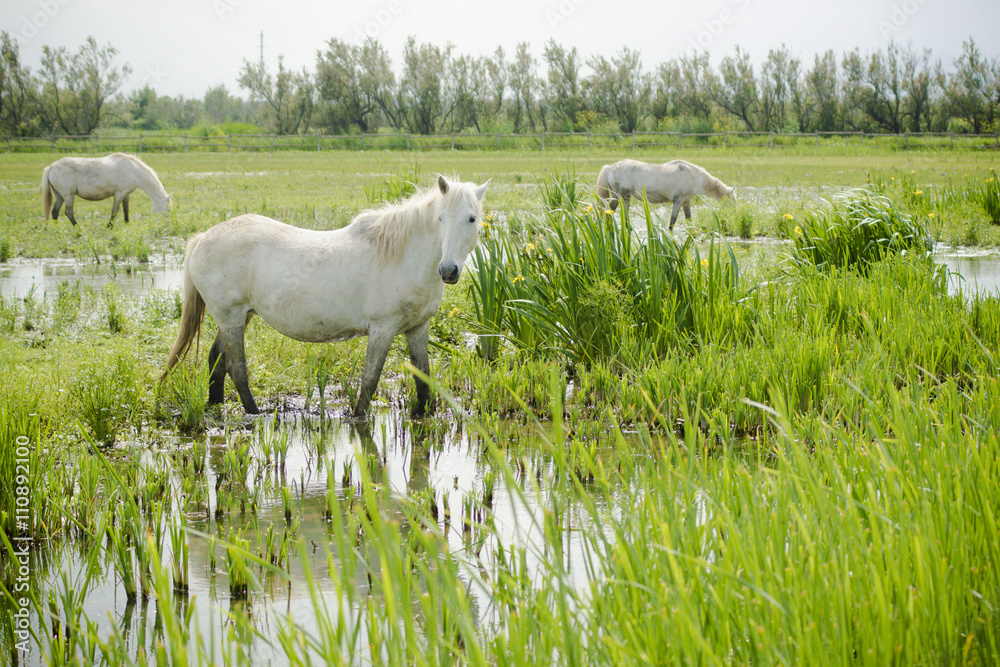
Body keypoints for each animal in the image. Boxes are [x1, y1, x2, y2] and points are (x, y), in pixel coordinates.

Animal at [41, 153, 171, 227]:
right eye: (168, 207)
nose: (167, 221)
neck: (133, 170)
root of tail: (51, 166)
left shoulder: (126, 194)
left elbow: (126, 210)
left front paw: (127, 223)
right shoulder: (119, 193)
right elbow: (114, 211)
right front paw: (109, 225)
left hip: (60, 196)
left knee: (55, 212)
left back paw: (56, 229)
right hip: (68, 196)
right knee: (68, 212)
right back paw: (78, 229)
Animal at [162, 175, 489, 418]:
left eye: (472, 219)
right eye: (441, 218)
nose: (448, 270)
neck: (403, 256)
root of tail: (202, 238)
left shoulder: (418, 329)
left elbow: (423, 379)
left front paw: (424, 416)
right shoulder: (382, 329)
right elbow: (370, 380)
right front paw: (357, 418)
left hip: (237, 318)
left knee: (216, 362)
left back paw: (216, 407)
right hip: (231, 318)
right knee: (236, 369)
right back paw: (254, 414)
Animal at [596, 159, 735, 229]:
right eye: (731, 200)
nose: (731, 216)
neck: (693, 176)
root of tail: (610, 167)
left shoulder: (686, 202)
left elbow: (689, 219)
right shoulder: (678, 201)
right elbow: (672, 221)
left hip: (621, 197)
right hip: (623, 196)